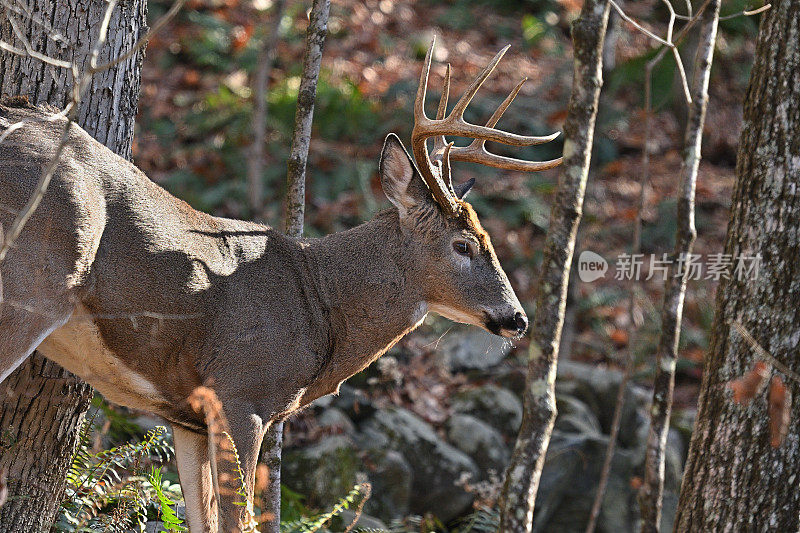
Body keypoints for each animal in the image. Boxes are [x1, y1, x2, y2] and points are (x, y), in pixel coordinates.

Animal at [0, 39, 560, 528]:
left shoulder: (186, 414)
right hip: (31, 286)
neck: (321, 308)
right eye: (464, 245)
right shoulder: (241, 393)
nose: (518, 318)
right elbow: (239, 522)